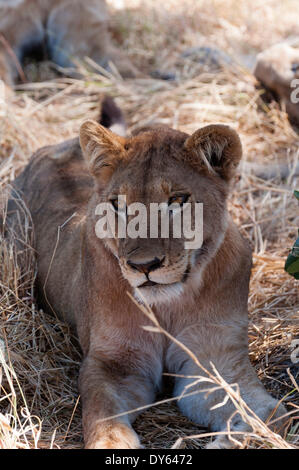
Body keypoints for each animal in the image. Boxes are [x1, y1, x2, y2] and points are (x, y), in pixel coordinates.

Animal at [6, 96, 288, 452]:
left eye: (177, 200)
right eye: (118, 204)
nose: (144, 265)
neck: (168, 306)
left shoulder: (215, 362)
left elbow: (271, 411)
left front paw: (236, 437)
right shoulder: (113, 364)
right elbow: (104, 415)